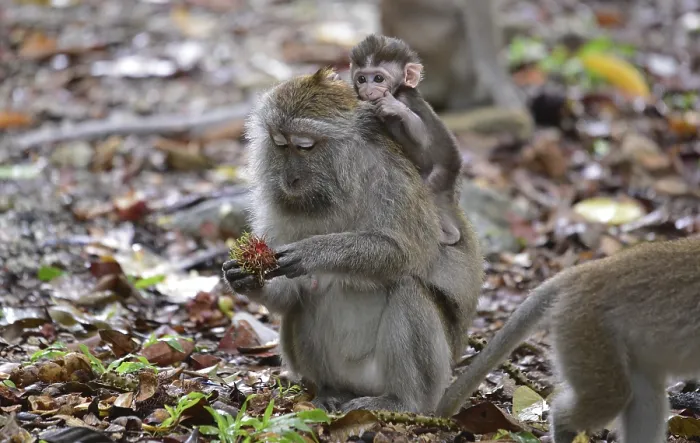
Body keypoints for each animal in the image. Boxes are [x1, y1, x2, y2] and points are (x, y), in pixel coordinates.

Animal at [222, 67, 483, 414]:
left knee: (408, 288)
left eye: (304, 146)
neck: (336, 189)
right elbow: (291, 292)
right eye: (280, 144)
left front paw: (314, 252)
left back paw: (402, 401)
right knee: (304, 302)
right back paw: (330, 391)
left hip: (425, 380)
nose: (289, 179)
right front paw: (246, 277)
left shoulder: (391, 179)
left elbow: (406, 253)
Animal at [349, 34, 464, 246]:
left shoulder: (405, 97)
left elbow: (422, 138)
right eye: (361, 79)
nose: (367, 90)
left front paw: (395, 108)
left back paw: (449, 234)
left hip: (441, 173)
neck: (397, 90)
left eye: (378, 78)